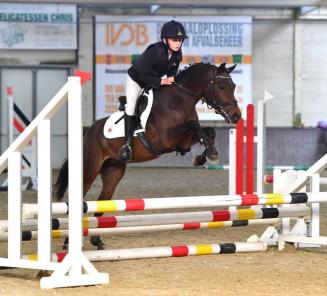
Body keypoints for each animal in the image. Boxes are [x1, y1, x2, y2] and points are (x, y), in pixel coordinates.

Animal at [53, 62, 242, 250]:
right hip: (89, 170)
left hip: (113, 172)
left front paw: (205, 156)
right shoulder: (167, 138)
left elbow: (208, 131)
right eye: (221, 86)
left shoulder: (183, 141)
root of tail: (88, 131)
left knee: (101, 203)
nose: (236, 116)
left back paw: (96, 240)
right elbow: (195, 125)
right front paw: (211, 154)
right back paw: (68, 243)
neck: (178, 100)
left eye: (233, 86)